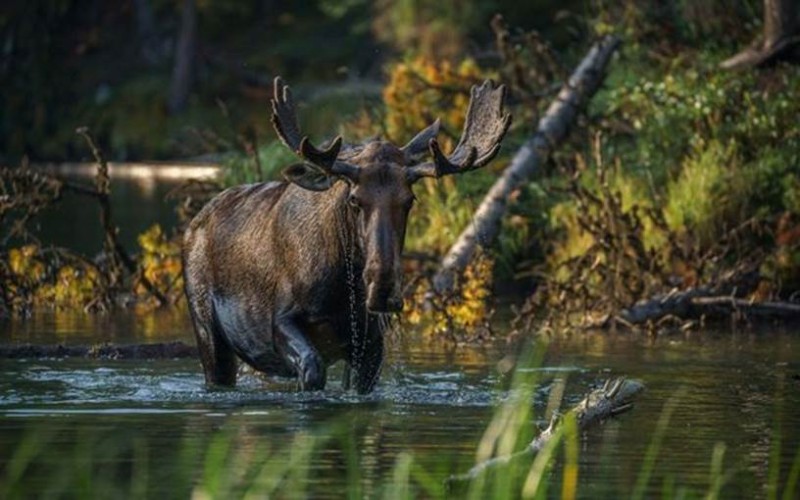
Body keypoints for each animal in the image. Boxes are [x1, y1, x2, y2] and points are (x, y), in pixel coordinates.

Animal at [182, 77, 511, 393]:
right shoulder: (280, 319)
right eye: (354, 199)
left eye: (410, 200)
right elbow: (312, 369)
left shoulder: (369, 342)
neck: (340, 289)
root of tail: (192, 226)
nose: (383, 288)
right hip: (206, 327)